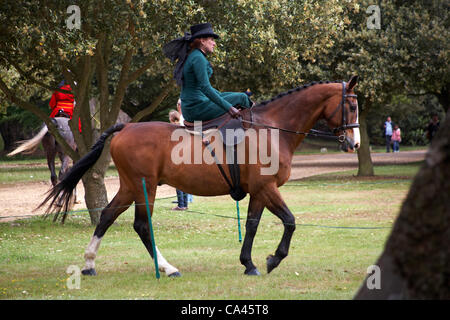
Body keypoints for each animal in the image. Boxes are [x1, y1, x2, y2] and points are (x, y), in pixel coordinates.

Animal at [40, 75, 360, 278]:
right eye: (353, 105)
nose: (354, 143)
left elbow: (253, 225)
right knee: (142, 226)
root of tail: (126, 127)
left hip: (130, 187)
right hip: (146, 187)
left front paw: (249, 263)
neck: (272, 128)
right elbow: (290, 221)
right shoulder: (267, 187)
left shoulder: (259, 191)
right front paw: (273, 259)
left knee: (107, 216)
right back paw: (167, 268)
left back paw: (89, 263)